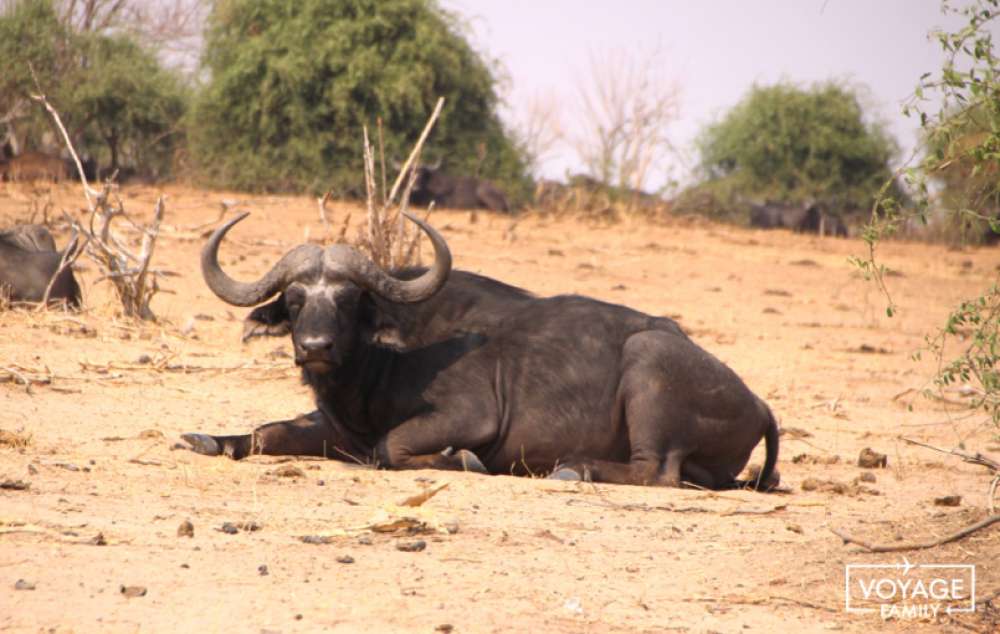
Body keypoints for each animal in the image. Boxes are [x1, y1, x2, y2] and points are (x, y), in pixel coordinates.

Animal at [182, 212, 780, 488]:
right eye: (296, 299)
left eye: (349, 300)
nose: (314, 347)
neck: (378, 363)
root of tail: (758, 403)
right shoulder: (335, 426)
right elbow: (268, 433)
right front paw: (211, 439)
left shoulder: (468, 416)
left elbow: (391, 447)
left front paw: (461, 459)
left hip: (648, 360)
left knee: (655, 471)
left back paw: (574, 469)